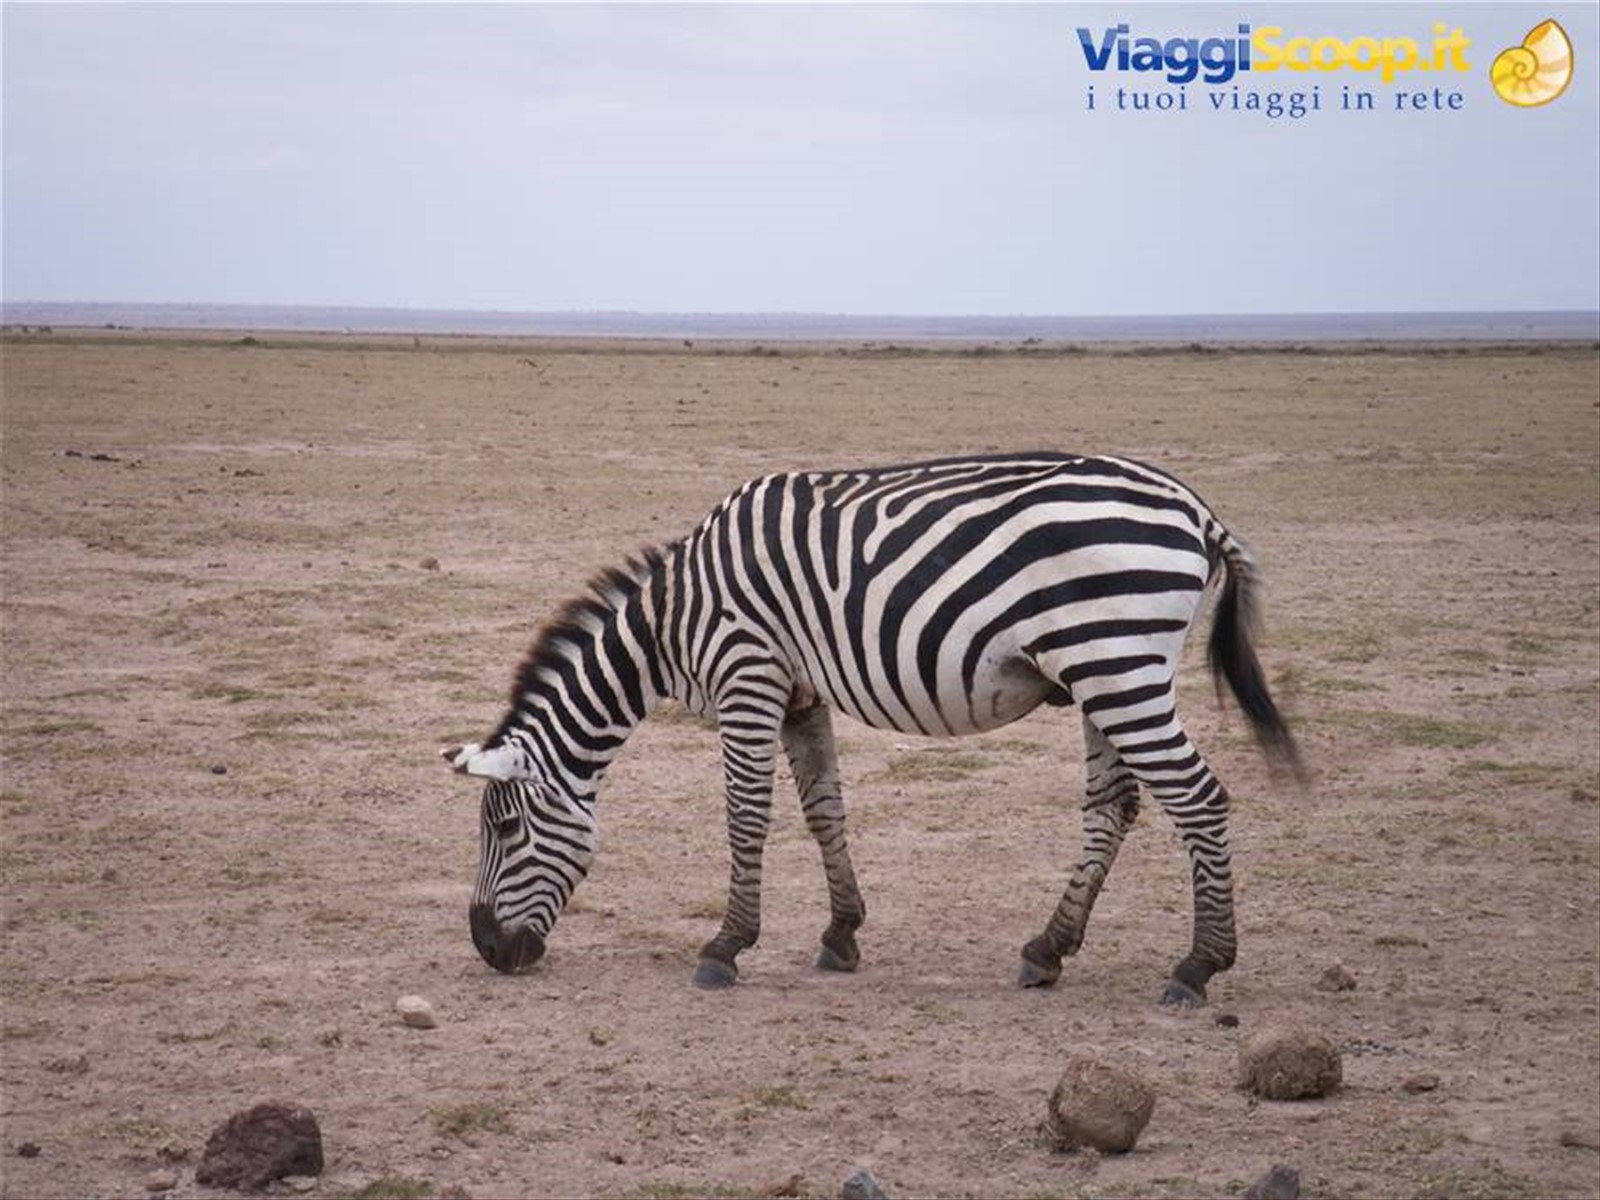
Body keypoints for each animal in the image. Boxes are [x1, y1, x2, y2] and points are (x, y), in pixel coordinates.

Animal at [443, 452, 1301, 1005]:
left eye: (507, 828)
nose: (487, 949)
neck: (674, 621)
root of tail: (1195, 508)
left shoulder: (747, 675)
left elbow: (746, 818)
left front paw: (726, 947)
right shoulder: (799, 694)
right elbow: (823, 809)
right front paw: (841, 935)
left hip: (1119, 663)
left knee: (1198, 797)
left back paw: (1198, 966)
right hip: (1101, 674)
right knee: (1113, 807)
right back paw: (1047, 950)